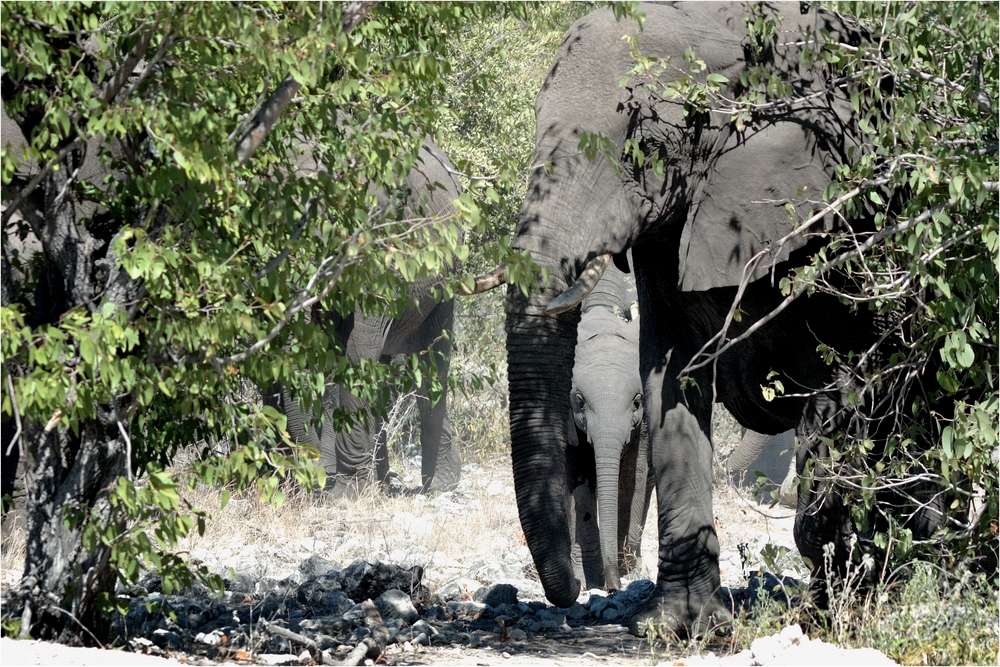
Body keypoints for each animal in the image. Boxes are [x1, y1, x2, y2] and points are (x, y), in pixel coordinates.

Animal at [268, 141, 466, 496]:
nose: (312, 480)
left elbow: (358, 349)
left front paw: (348, 493)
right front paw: (339, 485)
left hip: (446, 273)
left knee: (433, 356)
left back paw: (438, 485)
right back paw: (383, 481)